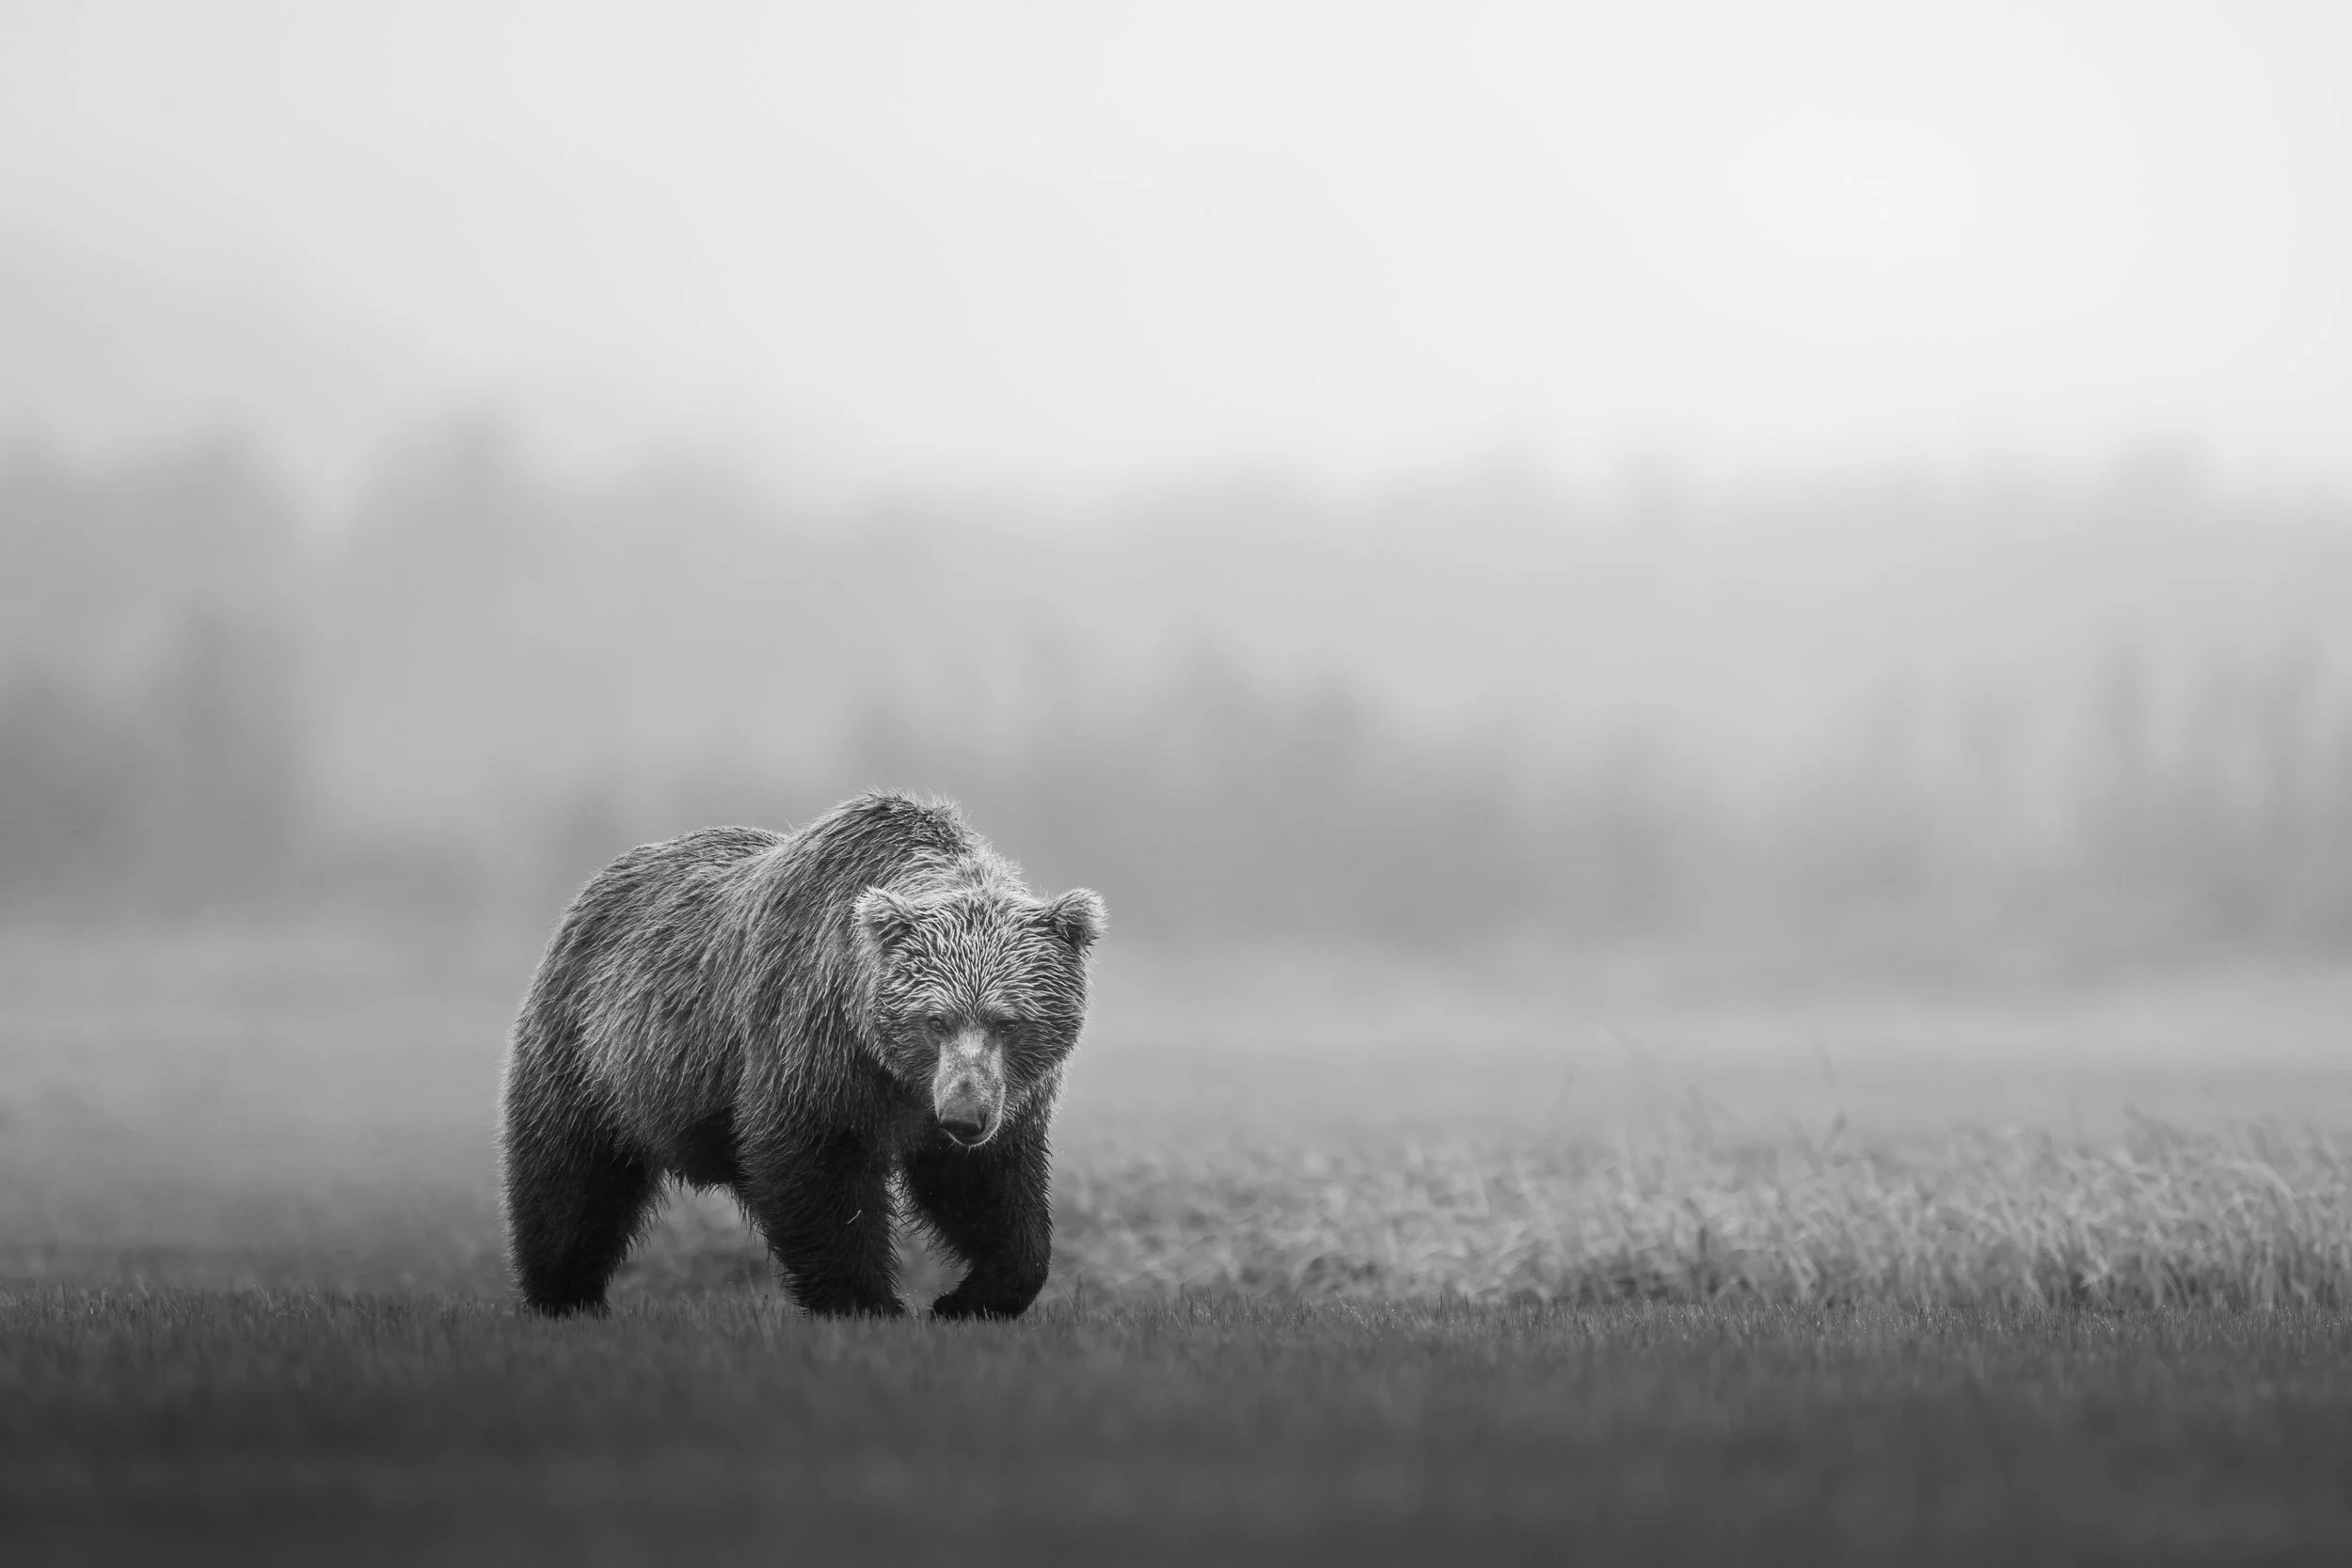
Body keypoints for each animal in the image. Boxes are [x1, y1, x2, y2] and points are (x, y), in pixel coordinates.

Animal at [497, 790, 1106, 1319]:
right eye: (935, 1020)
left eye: (1008, 1021)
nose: (964, 1116)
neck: (892, 1069)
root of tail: (591, 892)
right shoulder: (814, 1041)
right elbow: (818, 1169)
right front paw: (869, 1304)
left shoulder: (1000, 1096)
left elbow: (988, 1189)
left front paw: (968, 1299)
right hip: (590, 1052)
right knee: (572, 1180)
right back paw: (567, 1296)